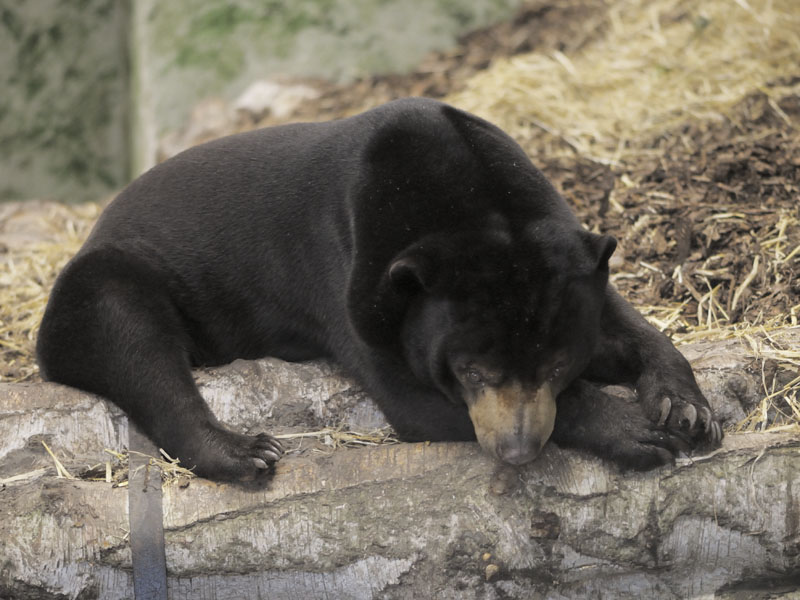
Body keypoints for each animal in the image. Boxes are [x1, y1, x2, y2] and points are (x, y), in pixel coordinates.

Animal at [36, 98, 722, 481]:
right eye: (471, 372)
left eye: (556, 365)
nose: (517, 449)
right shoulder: (350, 277)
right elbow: (411, 398)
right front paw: (639, 435)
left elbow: (625, 325)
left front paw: (685, 409)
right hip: (103, 283)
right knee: (137, 347)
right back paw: (247, 453)